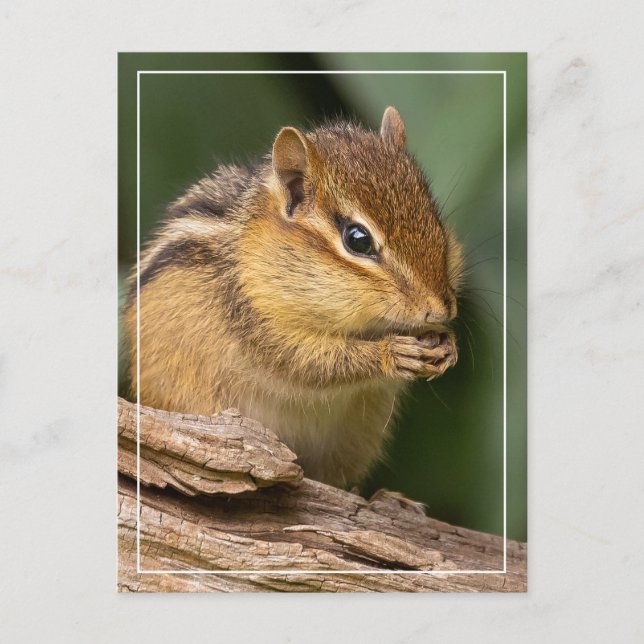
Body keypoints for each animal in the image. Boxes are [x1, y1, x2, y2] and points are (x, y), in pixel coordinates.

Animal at [125, 106, 463, 489]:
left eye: (435, 220)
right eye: (358, 239)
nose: (441, 308)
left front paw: (447, 345)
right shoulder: (252, 317)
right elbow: (305, 362)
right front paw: (391, 352)